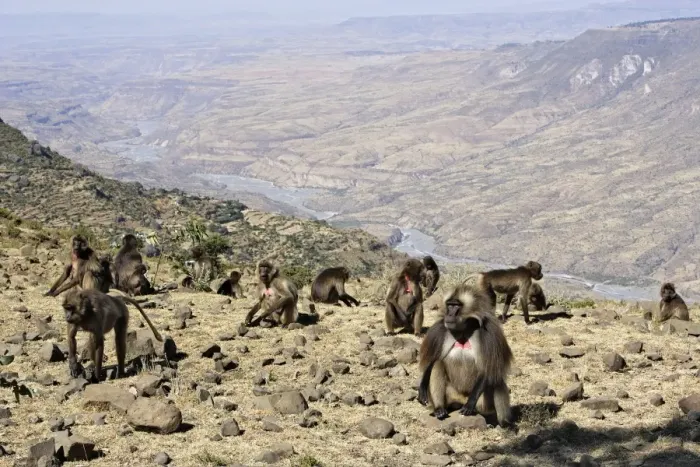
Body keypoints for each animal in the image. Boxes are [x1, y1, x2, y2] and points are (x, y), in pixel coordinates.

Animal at [417, 283, 513, 427]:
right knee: (438, 364)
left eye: (456, 306)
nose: (449, 314)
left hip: (482, 405)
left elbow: (488, 369)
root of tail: (460, 400)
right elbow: (432, 362)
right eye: (449, 305)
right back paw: (439, 410)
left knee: (496, 379)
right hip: (451, 394)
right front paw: (422, 387)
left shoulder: (490, 334)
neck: (463, 329)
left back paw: (505, 423)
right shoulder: (439, 331)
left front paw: (470, 404)